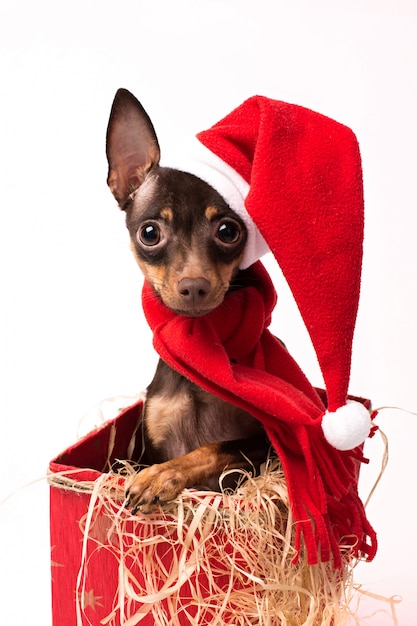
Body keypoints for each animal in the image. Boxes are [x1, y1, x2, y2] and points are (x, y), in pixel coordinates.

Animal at [105, 90, 268, 516]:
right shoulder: (147, 446)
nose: (194, 286)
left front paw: (161, 478)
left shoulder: (263, 444)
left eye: (228, 231)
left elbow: (212, 448)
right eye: (149, 233)